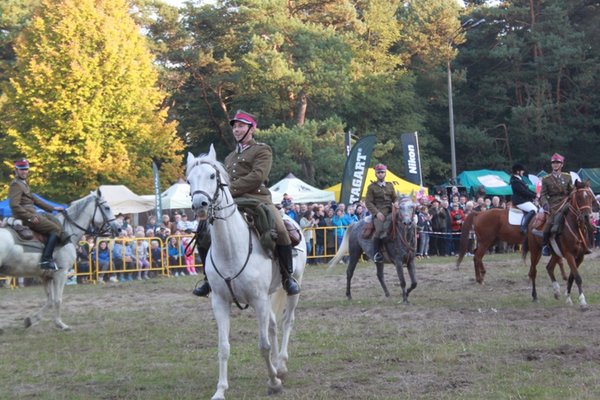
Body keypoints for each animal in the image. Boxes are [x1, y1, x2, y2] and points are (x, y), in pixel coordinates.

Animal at [0, 189, 117, 330]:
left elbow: (50, 300)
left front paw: (31, 320)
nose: (118, 228)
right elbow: (58, 300)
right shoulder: (61, 273)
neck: (67, 232)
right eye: (107, 207)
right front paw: (61, 324)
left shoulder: (46, 276)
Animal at [186, 147, 308, 400]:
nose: (199, 204)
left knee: (287, 321)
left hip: (293, 288)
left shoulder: (258, 300)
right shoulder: (220, 302)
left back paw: (281, 366)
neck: (231, 249)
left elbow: (263, 345)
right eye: (189, 180)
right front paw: (220, 390)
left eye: (212, 176)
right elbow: (223, 347)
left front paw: (274, 383)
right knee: (273, 325)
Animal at [520, 181, 596, 310]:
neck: (576, 227)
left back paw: (556, 291)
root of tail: (532, 220)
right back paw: (535, 297)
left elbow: (571, 277)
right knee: (533, 271)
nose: (587, 217)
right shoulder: (569, 255)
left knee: (549, 267)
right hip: (535, 251)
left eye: (590, 196)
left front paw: (568, 298)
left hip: (555, 253)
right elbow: (577, 277)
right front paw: (582, 301)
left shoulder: (580, 256)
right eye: (578, 197)